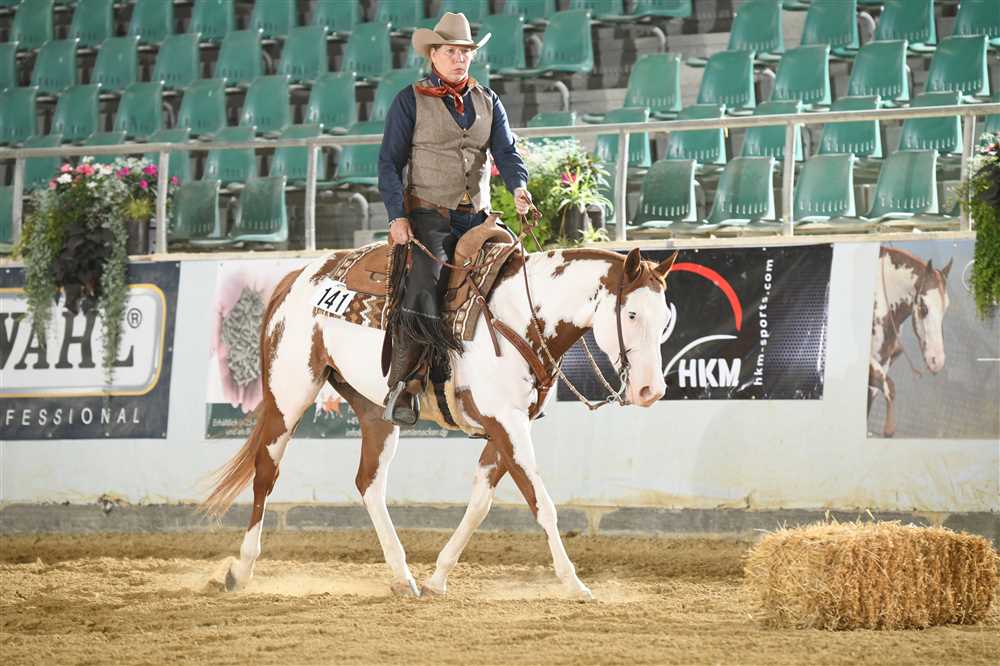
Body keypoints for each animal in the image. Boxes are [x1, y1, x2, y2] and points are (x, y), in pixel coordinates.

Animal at [202, 244, 677, 599]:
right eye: (632, 315)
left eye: (665, 319)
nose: (650, 391)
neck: (517, 318)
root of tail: (298, 277)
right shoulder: (508, 425)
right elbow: (542, 503)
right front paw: (574, 583)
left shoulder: (504, 429)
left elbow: (481, 504)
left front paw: (437, 578)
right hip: (288, 395)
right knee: (265, 473)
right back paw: (240, 570)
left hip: (375, 411)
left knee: (368, 483)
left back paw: (403, 576)